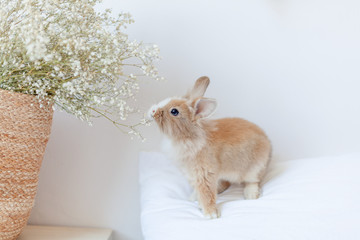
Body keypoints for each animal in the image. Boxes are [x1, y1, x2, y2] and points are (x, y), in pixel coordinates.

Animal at [148, 77, 272, 219]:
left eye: (174, 111)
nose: (152, 111)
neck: (189, 136)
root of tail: (268, 143)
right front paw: (194, 199)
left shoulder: (204, 173)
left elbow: (206, 193)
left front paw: (210, 214)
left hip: (254, 168)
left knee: (253, 181)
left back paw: (250, 194)